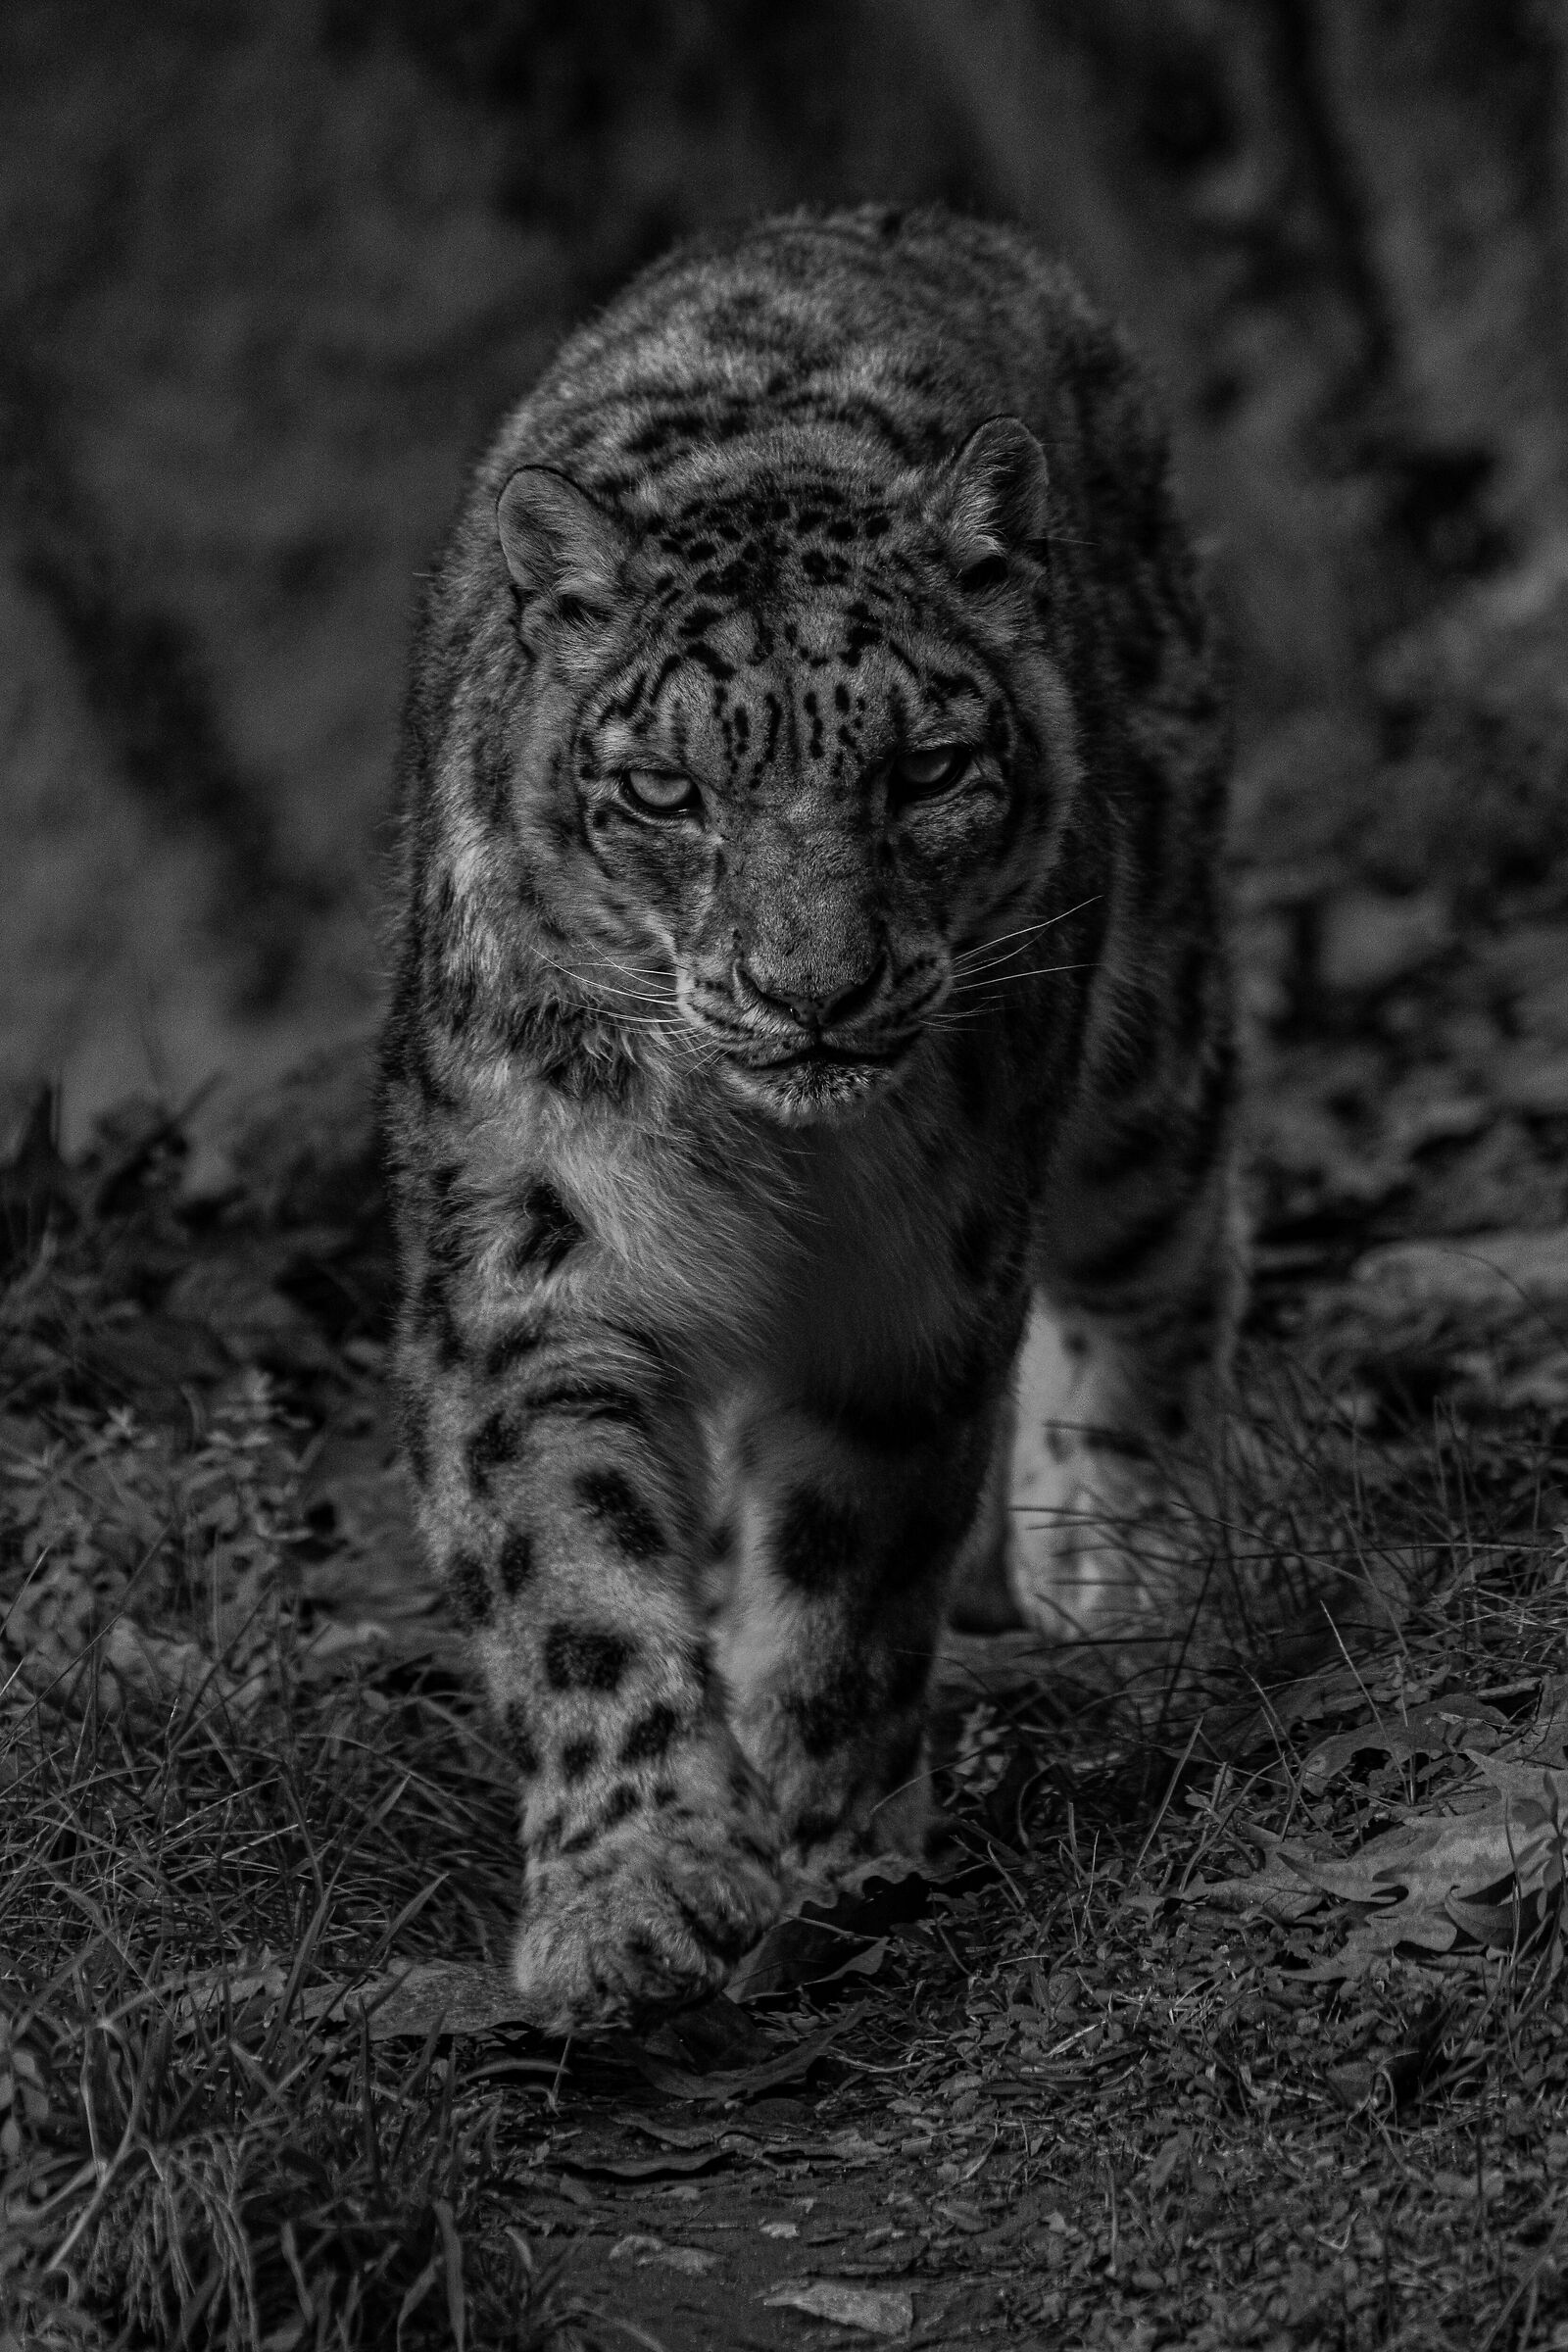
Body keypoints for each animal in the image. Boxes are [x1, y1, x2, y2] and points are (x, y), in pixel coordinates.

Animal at [379, 204, 1241, 2033]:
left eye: (924, 771)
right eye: (666, 790)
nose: (814, 992)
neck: (767, 1152)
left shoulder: (915, 1284)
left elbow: (852, 1576)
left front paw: (821, 1845)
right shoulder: (531, 1265)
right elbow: (575, 1578)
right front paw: (635, 1897)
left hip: (1149, 1050)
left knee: (1166, 1254)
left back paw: (1120, 1560)